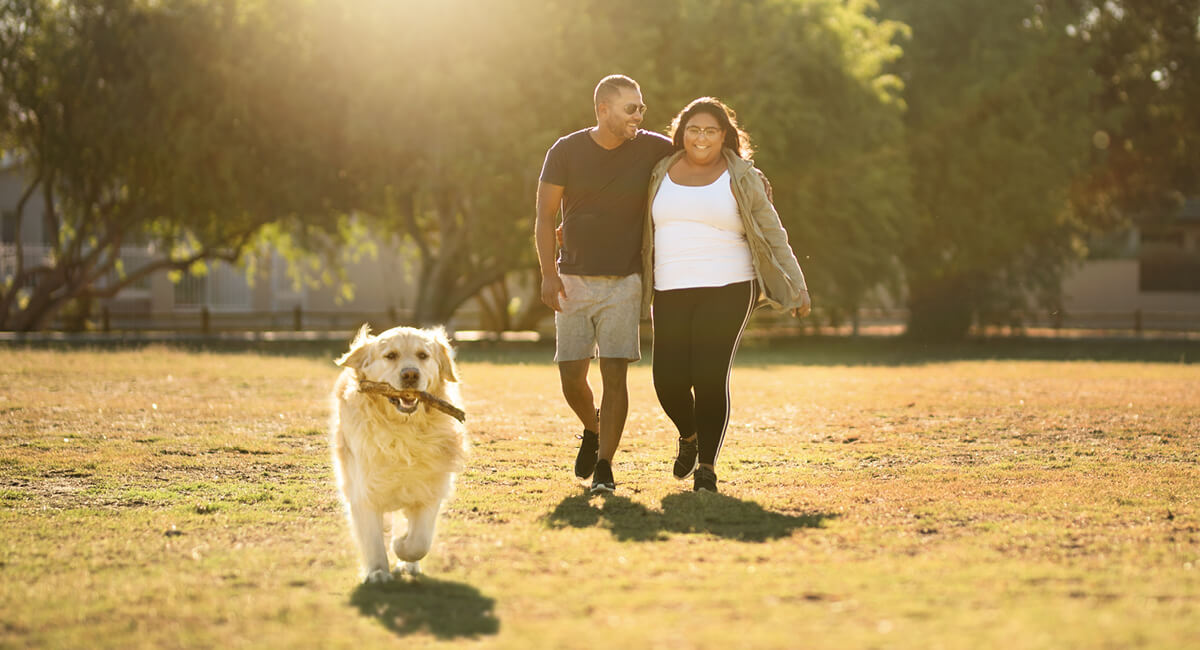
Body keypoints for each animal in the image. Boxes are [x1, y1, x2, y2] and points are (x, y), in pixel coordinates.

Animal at [331, 326, 465, 585]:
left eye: (423, 355)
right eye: (390, 355)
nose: (410, 374)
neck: (404, 430)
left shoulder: (428, 488)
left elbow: (419, 541)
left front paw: (401, 546)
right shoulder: (363, 491)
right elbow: (372, 539)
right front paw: (377, 571)